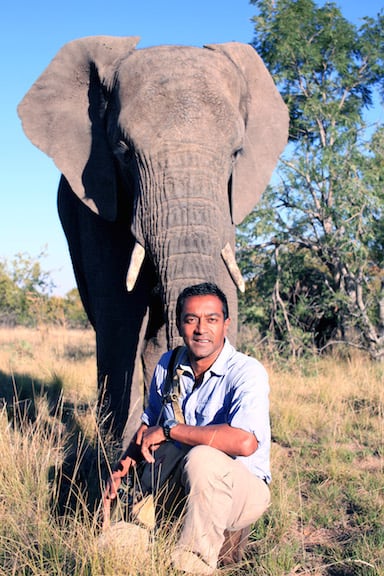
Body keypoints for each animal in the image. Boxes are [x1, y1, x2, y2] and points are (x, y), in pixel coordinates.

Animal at [18, 36, 288, 440]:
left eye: (236, 153)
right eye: (123, 151)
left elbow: (225, 285)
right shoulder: (98, 202)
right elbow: (120, 315)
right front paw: (119, 451)